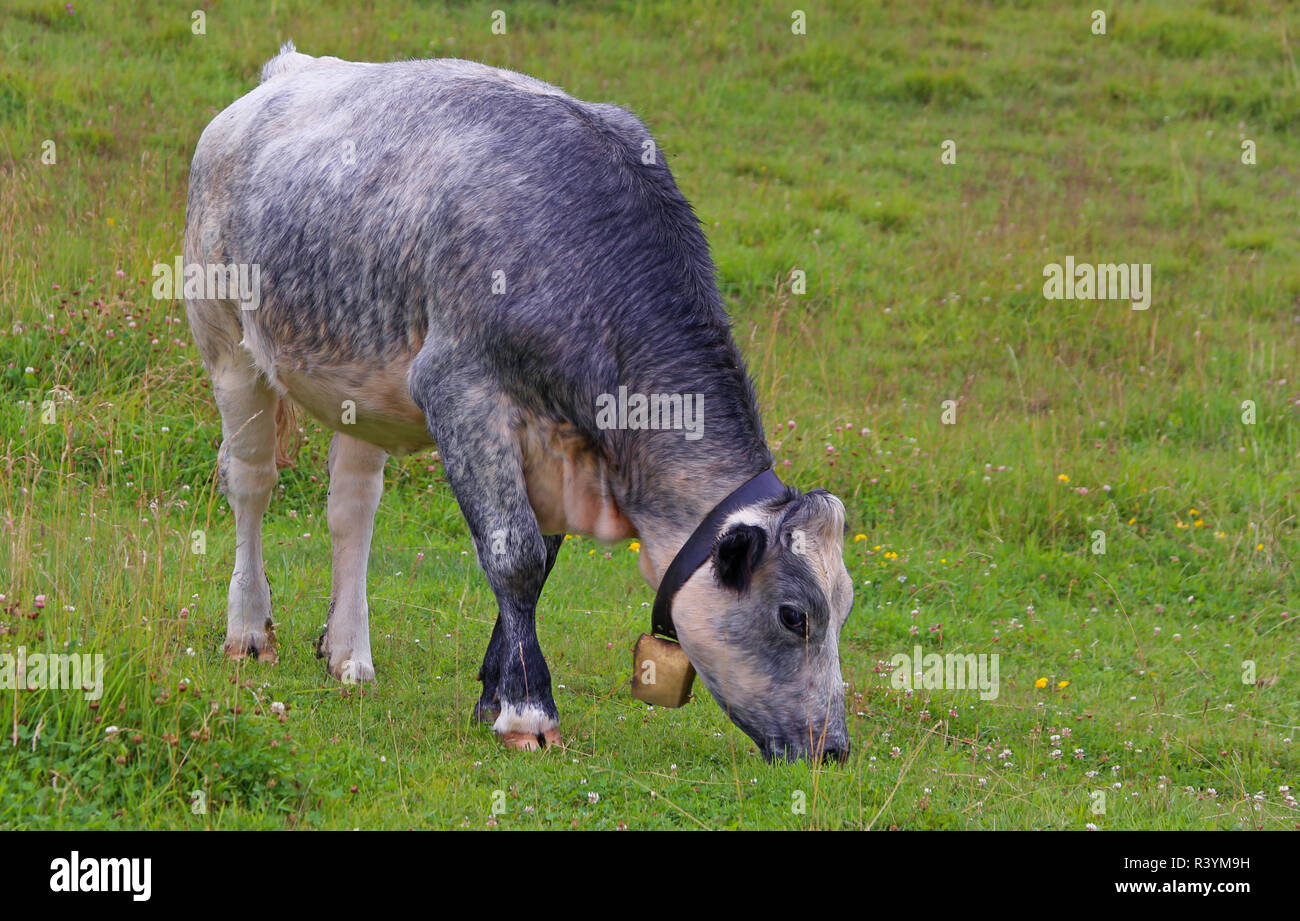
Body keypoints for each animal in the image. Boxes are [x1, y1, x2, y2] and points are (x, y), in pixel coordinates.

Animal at [183, 43, 852, 764]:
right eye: (794, 614)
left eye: (843, 607)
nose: (835, 747)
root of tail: (290, 69)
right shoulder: (461, 391)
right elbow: (517, 556)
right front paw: (528, 710)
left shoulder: (559, 445)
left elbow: (543, 560)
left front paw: (492, 690)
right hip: (227, 345)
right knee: (251, 484)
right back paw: (250, 631)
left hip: (357, 382)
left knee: (351, 510)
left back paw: (348, 654)